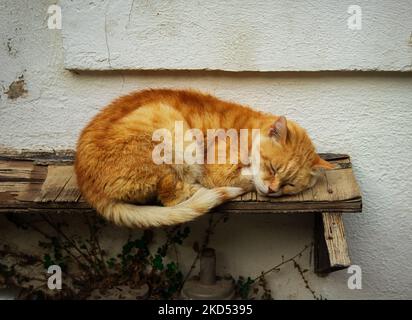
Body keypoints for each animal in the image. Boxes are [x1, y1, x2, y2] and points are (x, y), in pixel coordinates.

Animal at [74, 87, 334, 228]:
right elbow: (246, 178)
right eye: (272, 168)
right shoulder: (219, 171)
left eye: (289, 185)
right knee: (172, 196)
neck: (246, 131)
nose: (272, 190)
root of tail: (85, 183)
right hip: (170, 128)